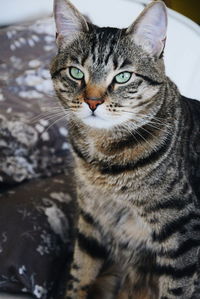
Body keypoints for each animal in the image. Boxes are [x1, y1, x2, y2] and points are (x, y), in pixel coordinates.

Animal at [50, 0, 200, 298]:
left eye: (122, 77)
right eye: (76, 72)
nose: (92, 102)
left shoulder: (183, 229)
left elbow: (177, 288)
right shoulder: (91, 219)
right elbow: (79, 274)